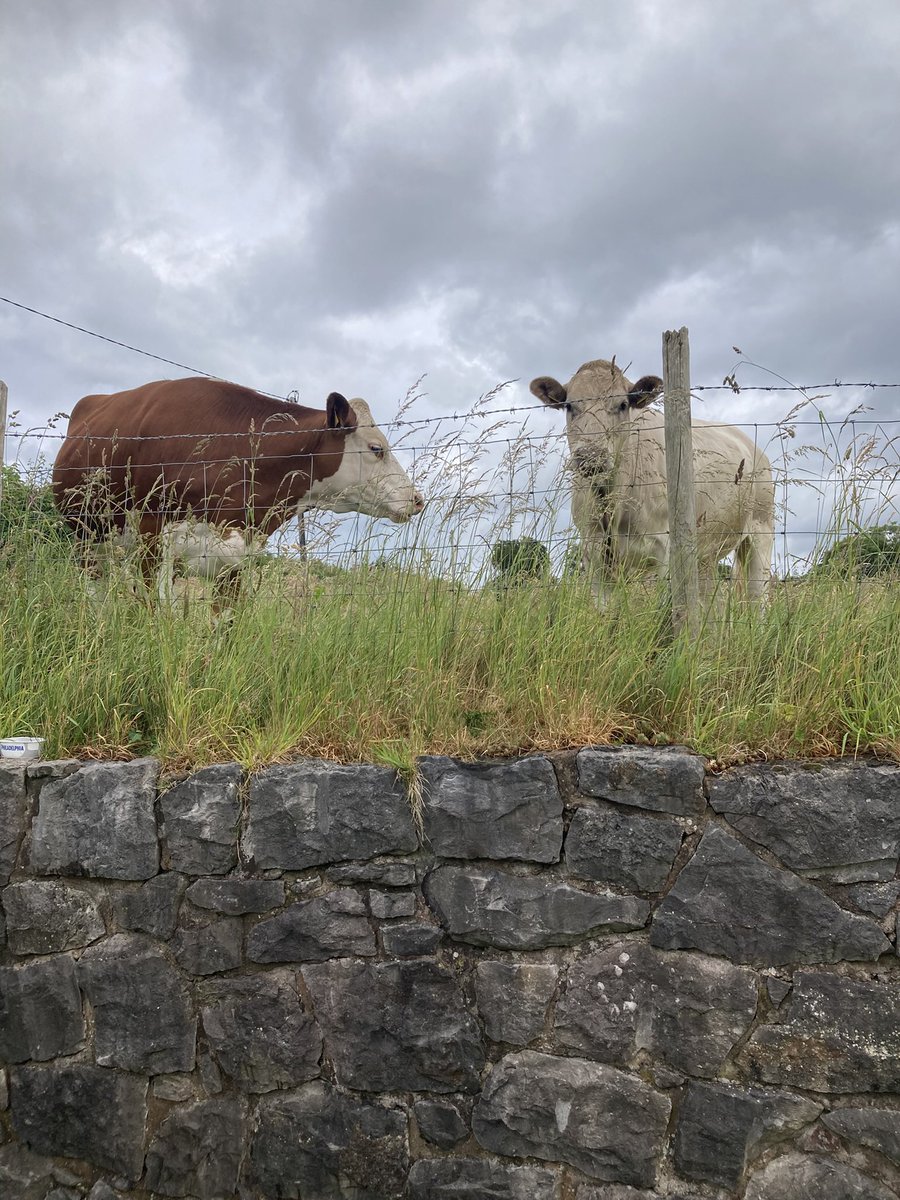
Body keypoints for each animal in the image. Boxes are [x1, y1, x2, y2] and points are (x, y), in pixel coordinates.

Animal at [52, 376, 424, 600]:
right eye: (376, 448)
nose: (418, 499)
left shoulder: (232, 557)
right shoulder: (152, 540)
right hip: (87, 537)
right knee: (97, 594)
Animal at [530, 357, 775, 604]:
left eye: (622, 405)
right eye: (570, 406)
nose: (591, 455)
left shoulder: (662, 552)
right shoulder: (595, 555)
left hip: (761, 534)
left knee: (757, 597)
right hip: (705, 554)